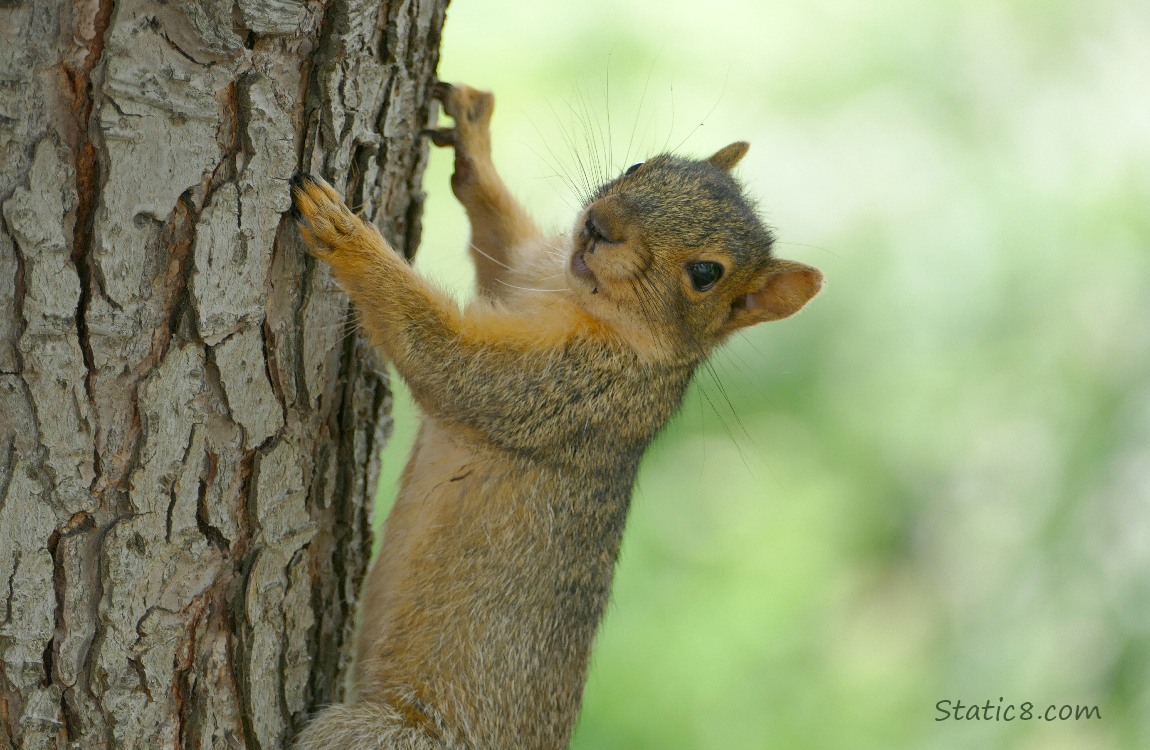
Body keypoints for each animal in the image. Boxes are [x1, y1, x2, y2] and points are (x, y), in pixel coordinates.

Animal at [289, 82, 823, 750]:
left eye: (706, 274)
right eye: (640, 165)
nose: (601, 225)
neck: (574, 293)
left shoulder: (570, 390)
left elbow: (444, 359)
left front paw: (349, 238)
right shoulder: (524, 275)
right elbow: (501, 246)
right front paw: (473, 140)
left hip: (383, 734)